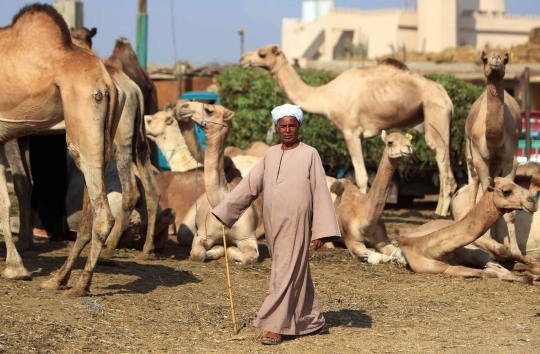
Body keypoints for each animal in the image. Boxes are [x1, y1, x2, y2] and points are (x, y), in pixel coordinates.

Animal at [0, 4, 116, 290]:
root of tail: (107, 80)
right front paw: (16, 267)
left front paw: (15, 267)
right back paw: (58, 278)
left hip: (83, 124)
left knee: (103, 214)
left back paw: (80, 285)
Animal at [176, 101, 260, 264]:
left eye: (210, 110)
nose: (183, 105)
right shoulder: (202, 235)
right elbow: (198, 253)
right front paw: (219, 249)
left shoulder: (248, 237)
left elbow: (249, 257)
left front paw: (232, 251)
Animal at [332, 131, 412, 264]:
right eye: (390, 142)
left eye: (409, 140)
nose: (409, 147)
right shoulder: (353, 242)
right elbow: (376, 257)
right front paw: (390, 259)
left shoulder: (382, 242)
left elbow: (400, 253)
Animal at [396, 177, 540, 284]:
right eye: (506, 191)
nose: (532, 201)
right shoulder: (445, 269)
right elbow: (492, 272)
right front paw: (530, 278)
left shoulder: (476, 253)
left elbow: (500, 268)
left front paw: (532, 276)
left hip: (491, 244)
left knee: (508, 253)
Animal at [464, 49, 524, 258]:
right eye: (484, 58)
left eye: (506, 58)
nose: (496, 60)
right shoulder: (480, 159)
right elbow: (485, 202)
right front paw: (488, 246)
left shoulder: (510, 160)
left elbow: (510, 210)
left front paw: (516, 251)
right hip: (471, 158)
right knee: (473, 186)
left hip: (495, 166)